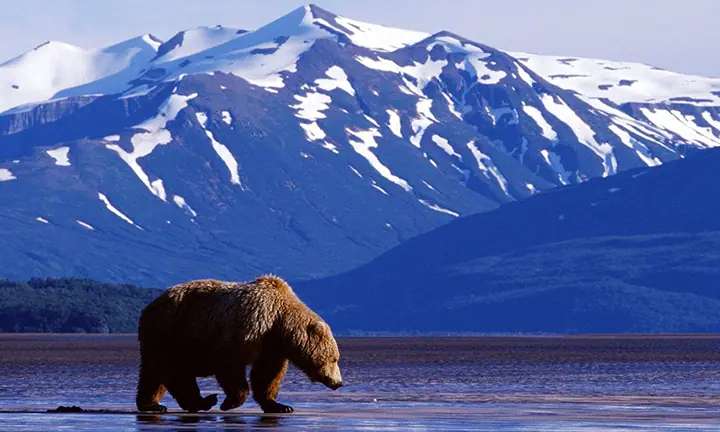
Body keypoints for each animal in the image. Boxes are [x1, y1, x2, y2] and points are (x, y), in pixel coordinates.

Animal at [135, 275, 343, 414]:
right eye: (334, 358)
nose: (339, 382)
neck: (279, 322)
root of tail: (149, 307)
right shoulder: (250, 326)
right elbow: (229, 361)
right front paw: (230, 402)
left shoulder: (271, 346)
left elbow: (267, 374)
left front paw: (280, 405)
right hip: (172, 332)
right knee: (175, 369)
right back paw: (202, 401)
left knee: (152, 374)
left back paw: (151, 404)